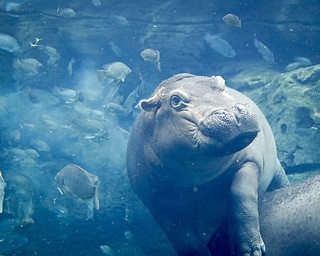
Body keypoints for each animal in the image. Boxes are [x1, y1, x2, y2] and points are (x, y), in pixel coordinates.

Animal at [126, 73, 288, 255]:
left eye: (221, 82)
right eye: (175, 100)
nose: (234, 114)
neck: (198, 179)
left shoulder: (249, 162)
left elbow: (241, 198)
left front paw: (252, 250)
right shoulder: (160, 207)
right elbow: (187, 241)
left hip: (276, 167)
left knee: (280, 180)